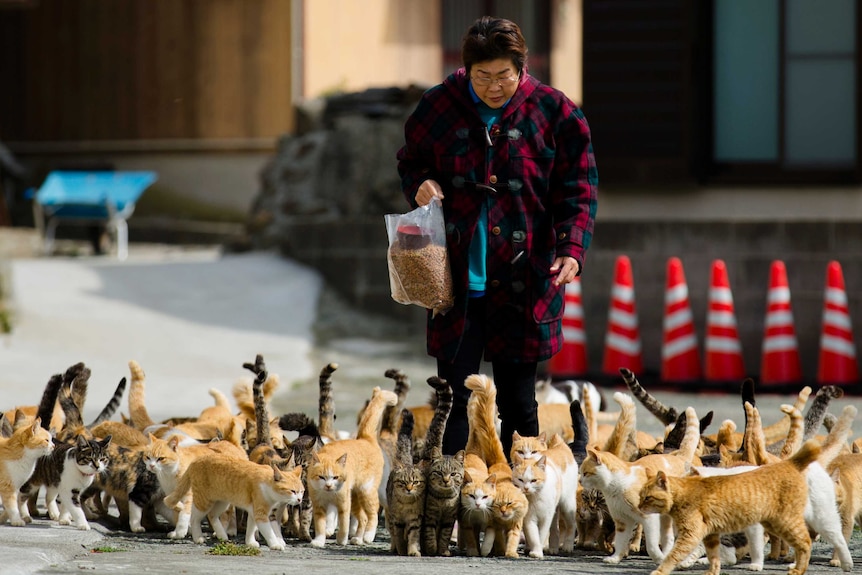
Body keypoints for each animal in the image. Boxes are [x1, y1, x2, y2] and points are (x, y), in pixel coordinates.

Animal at [308, 384, 398, 548]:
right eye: (321, 477)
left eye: (335, 477)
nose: (329, 485)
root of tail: (366, 438)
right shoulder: (318, 506)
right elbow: (320, 525)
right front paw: (319, 541)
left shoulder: (344, 504)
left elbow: (343, 524)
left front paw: (341, 539)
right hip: (357, 496)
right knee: (363, 517)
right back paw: (357, 538)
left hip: (368, 490)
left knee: (374, 514)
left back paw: (369, 536)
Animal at [386, 410, 426, 560]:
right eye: (403, 482)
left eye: (415, 482)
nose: (409, 489)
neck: (406, 503)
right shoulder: (397, 519)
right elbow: (398, 537)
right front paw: (401, 550)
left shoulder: (415, 519)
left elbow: (413, 537)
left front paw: (413, 550)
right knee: (392, 532)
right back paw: (393, 547)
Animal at [418, 378, 466, 560]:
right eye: (439, 473)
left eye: (453, 474)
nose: (446, 480)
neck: (443, 500)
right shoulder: (428, 516)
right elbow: (430, 534)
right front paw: (432, 549)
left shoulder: (448, 519)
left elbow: (445, 536)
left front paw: (443, 550)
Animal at [640, 436, 824, 575]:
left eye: (648, 498)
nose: (640, 506)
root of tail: (789, 463)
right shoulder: (707, 530)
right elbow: (707, 552)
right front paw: (704, 566)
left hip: (783, 521)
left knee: (804, 541)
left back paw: (796, 566)